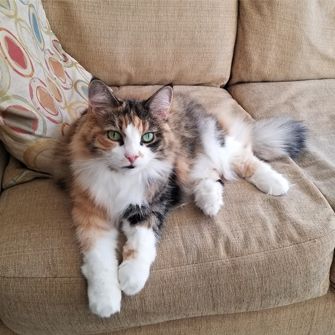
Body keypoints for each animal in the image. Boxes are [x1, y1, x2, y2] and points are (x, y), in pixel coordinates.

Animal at [54, 78, 308, 318]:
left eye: (147, 137)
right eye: (114, 135)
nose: (132, 157)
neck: (121, 180)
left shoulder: (154, 201)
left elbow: (141, 241)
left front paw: (131, 279)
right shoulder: (90, 211)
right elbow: (99, 260)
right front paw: (105, 302)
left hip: (214, 145)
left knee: (244, 158)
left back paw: (277, 183)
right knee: (211, 176)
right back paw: (210, 202)